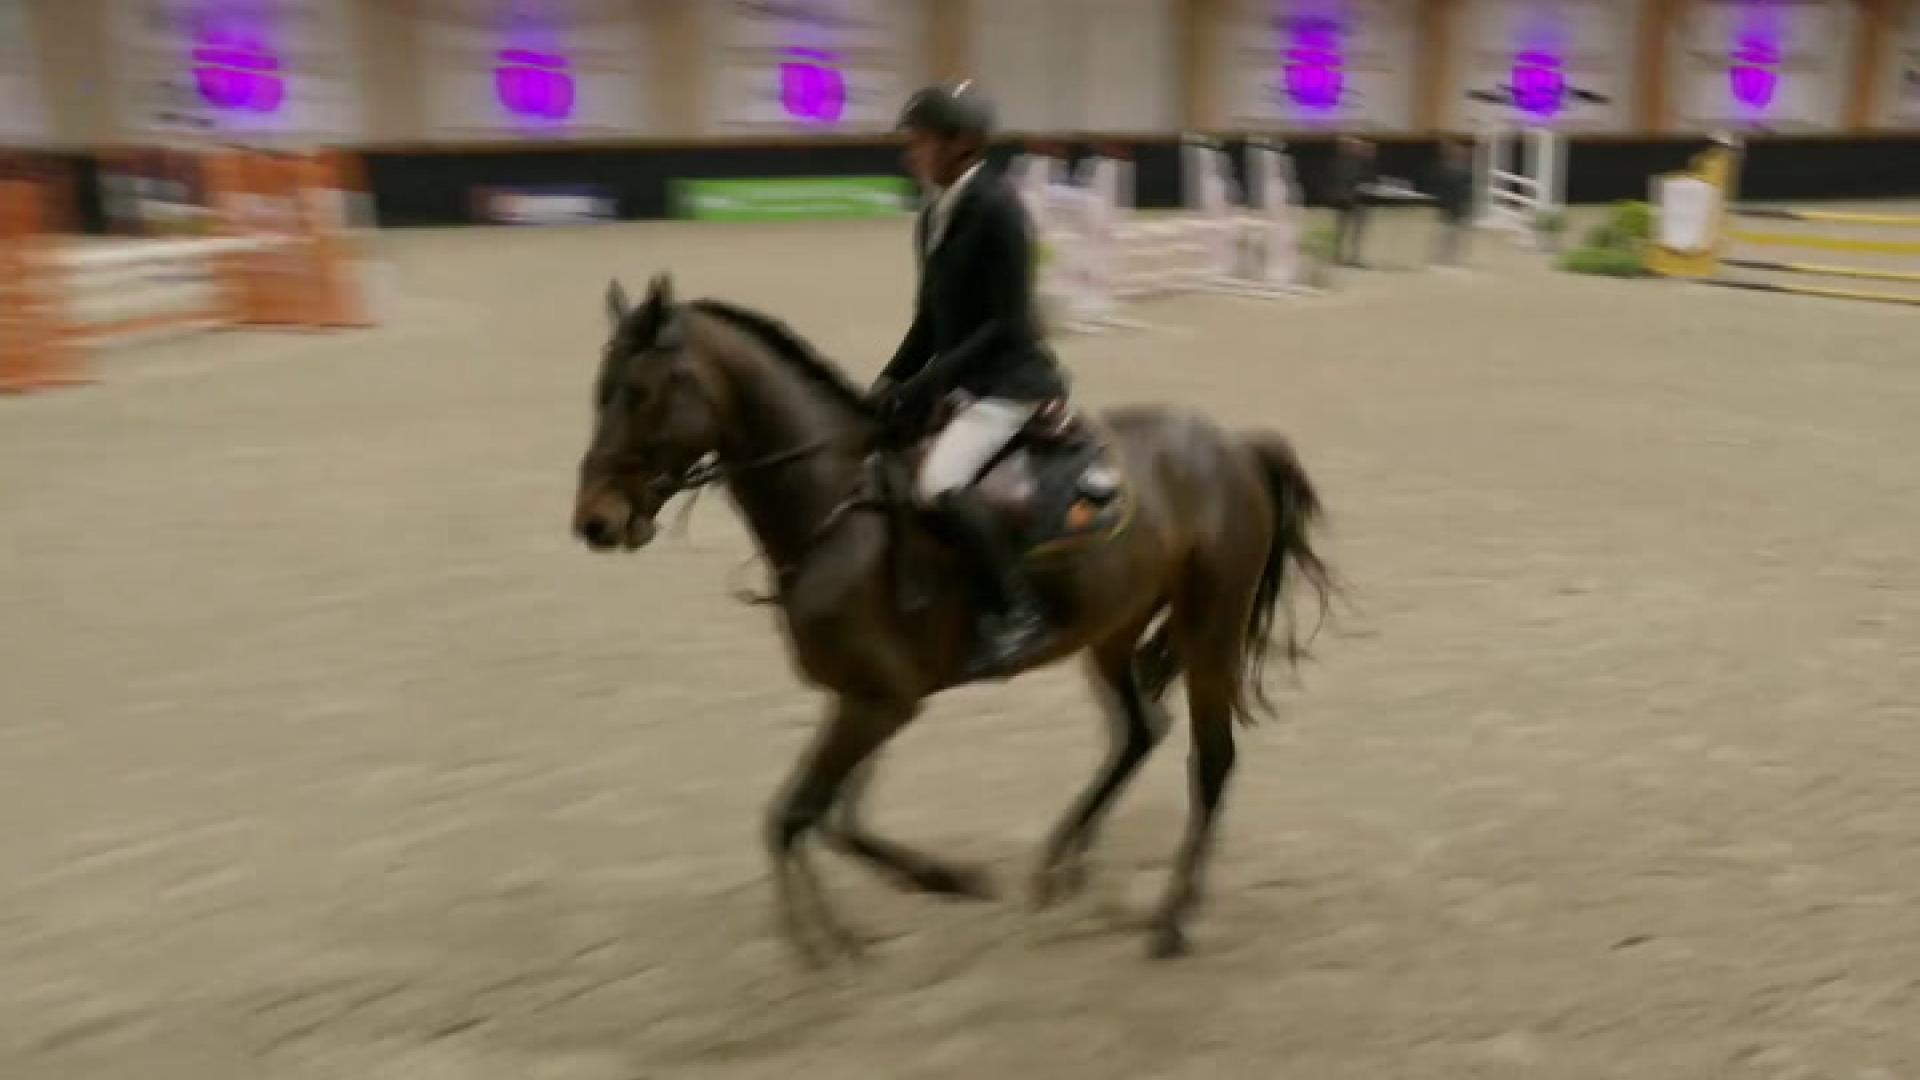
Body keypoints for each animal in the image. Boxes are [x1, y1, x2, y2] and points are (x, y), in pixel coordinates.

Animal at [571, 274, 1334, 961]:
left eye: (636, 394)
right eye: (599, 391)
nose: (595, 523)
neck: (832, 511)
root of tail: (1235, 445)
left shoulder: (881, 702)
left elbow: (798, 816)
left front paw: (829, 940)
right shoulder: (867, 697)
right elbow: (835, 819)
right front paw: (942, 880)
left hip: (1212, 627)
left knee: (1211, 759)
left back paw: (1170, 922)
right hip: (1112, 628)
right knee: (1140, 730)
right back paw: (1060, 864)